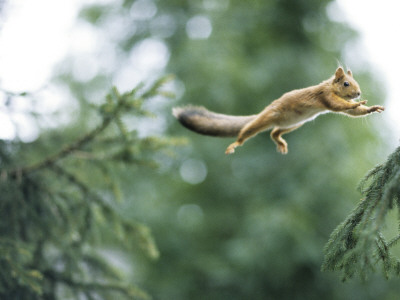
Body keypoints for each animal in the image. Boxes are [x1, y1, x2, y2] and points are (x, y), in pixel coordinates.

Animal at [172, 67, 384, 155]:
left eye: (355, 82)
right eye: (346, 83)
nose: (358, 93)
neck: (329, 86)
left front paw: (371, 108)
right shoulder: (325, 96)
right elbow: (340, 106)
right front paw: (355, 104)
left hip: (293, 124)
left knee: (274, 132)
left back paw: (280, 142)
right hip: (266, 118)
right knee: (247, 131)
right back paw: (235, 144)